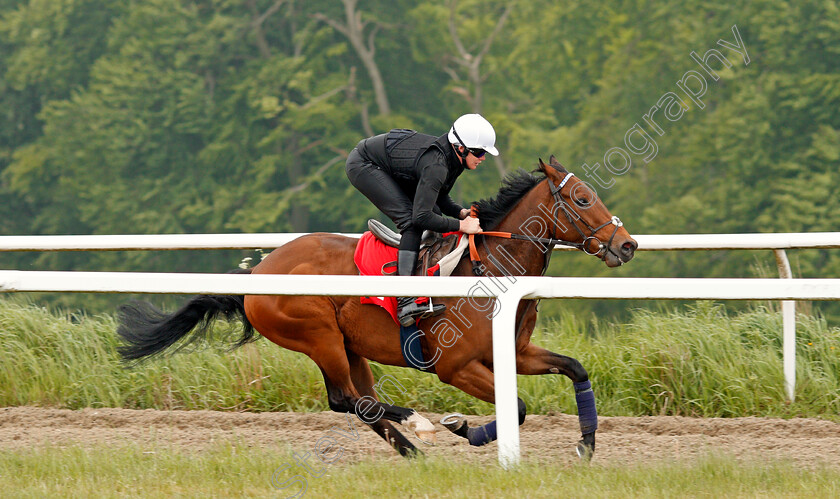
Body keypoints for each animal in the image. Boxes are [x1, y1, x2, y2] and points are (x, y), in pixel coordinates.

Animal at [115, 156, 632, 460]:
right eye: (583, 198)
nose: (627, 245)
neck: (489, 268)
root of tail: (257, 275)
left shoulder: (515, 353)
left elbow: (575, 369)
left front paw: (586, 445)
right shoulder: (456, 367)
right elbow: (518, 407)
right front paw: (460, 426)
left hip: (349, 346)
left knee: (358, 404)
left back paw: (413, 453)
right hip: (318, 336)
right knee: (349, 400)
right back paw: (420, 427)